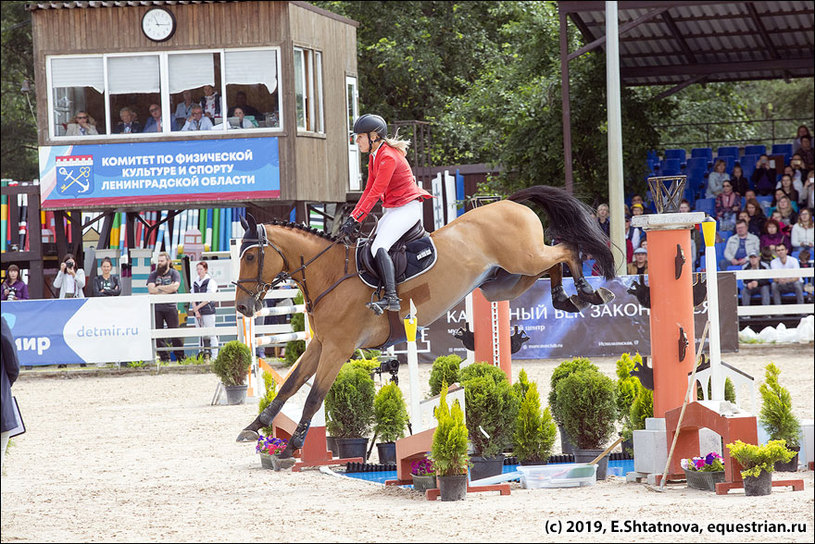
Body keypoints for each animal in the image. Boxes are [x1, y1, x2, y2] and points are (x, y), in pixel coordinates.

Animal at [233, 185, 616, 462]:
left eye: (250, 256)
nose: (242, 307)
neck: (328, 274)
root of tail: (508, 202)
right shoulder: (320, 344)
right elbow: (289, 385)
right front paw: (254, 427)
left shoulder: (338, 348)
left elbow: (314, 396)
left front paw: (291, 446)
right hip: (506, 279)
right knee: (553, 263)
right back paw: (567, 298)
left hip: (524, 258)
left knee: (566, 250)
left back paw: (589, 292)